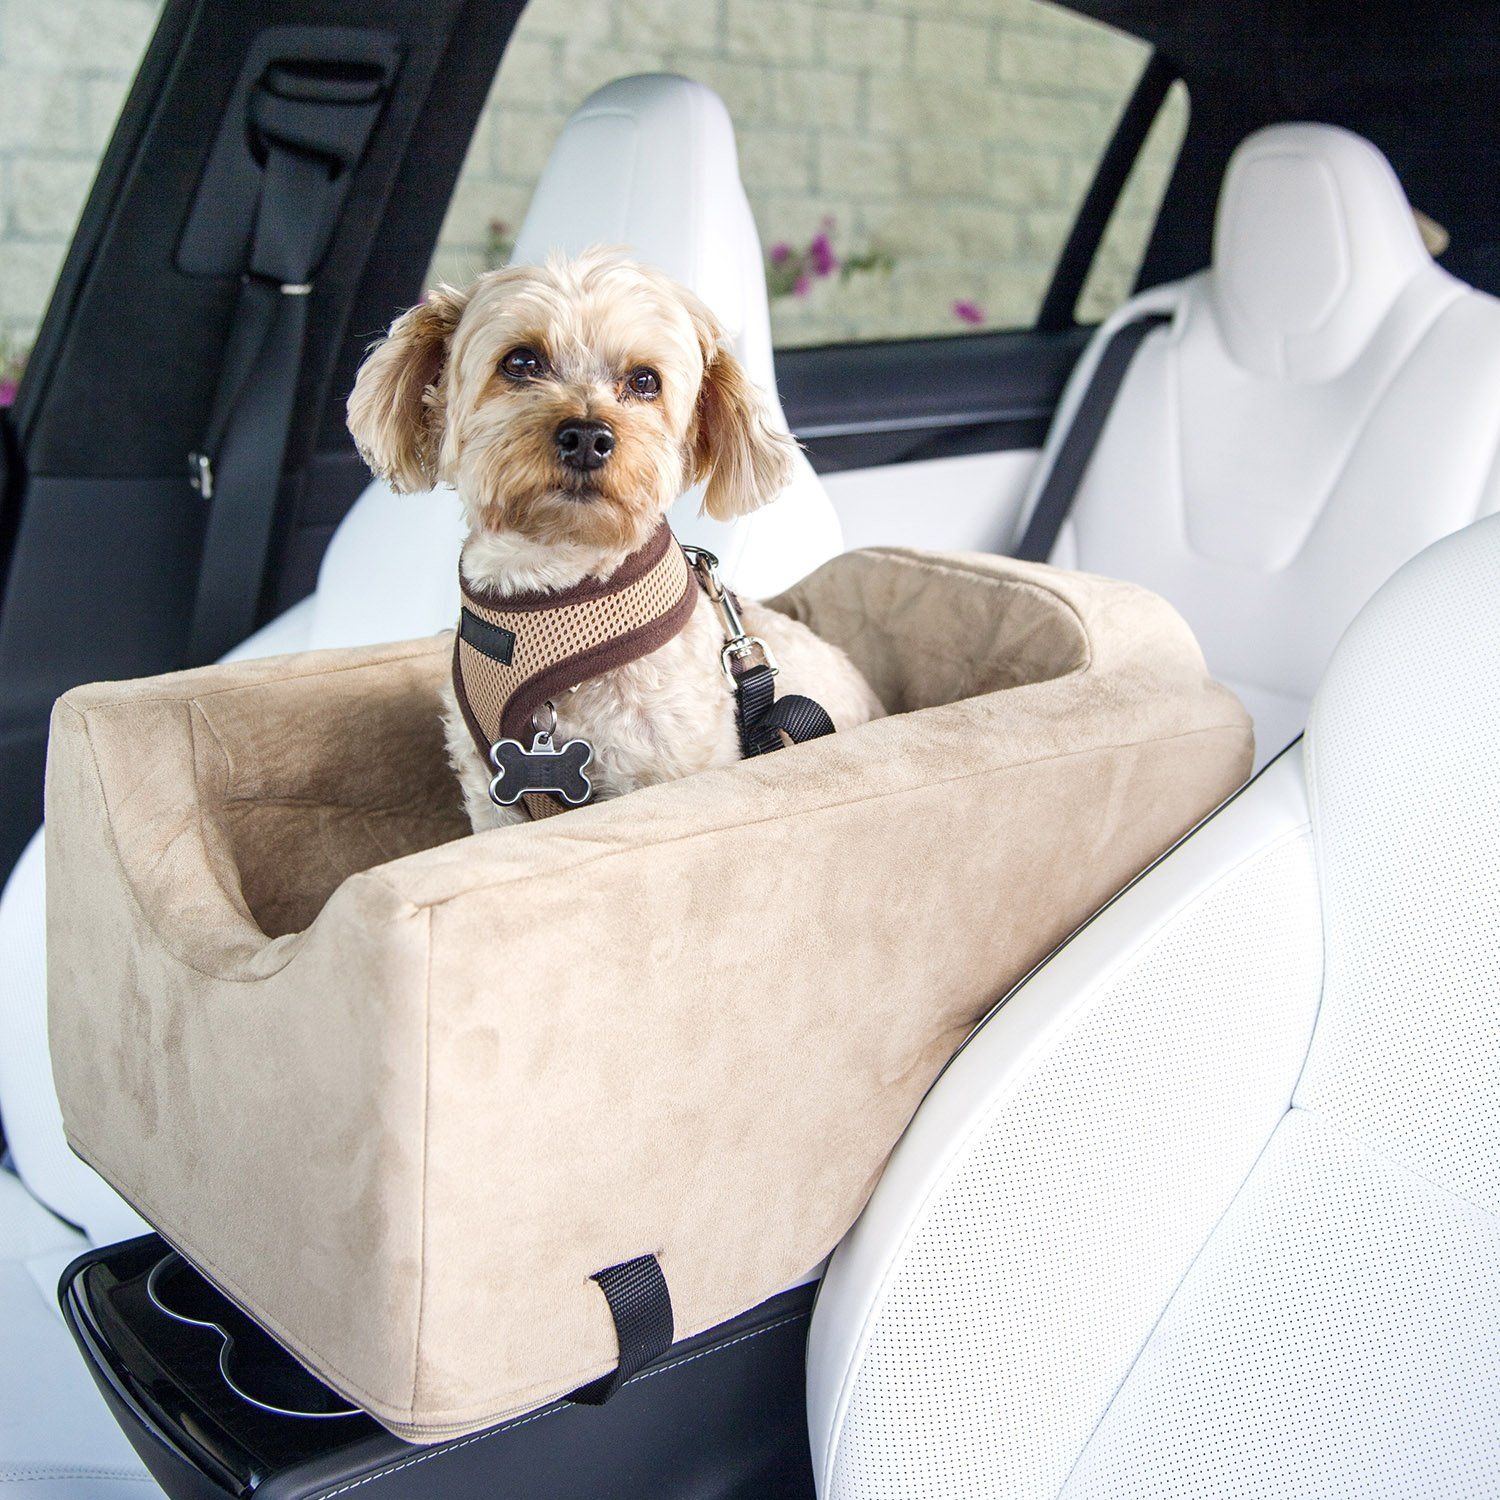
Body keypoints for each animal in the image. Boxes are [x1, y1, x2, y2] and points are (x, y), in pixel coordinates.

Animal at [345, 249, 882, 834]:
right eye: (520, 362)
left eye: (646, 380)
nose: (587, 436)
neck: (556, 594)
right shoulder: (495, 798)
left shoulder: (668, 774)